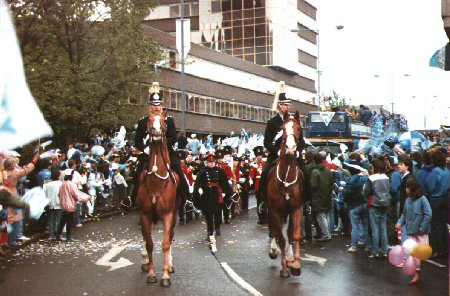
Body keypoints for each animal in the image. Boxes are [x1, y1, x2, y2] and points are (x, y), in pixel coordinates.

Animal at [136, 111, 180, 286]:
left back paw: (170, 265)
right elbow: (149, 244)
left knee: (171, 237)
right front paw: (151, 273)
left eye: (163, 121)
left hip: (174, 215)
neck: (156, 182)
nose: (155, 132)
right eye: (149, 120)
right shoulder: (144, 215)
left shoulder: (168, 215)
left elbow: (166, 243)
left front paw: (165, 275)